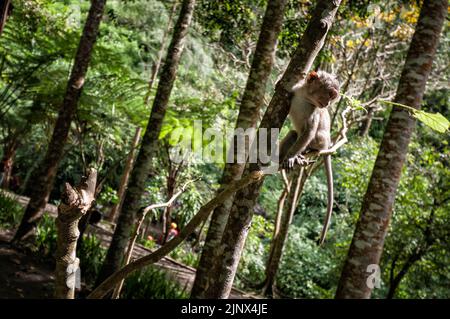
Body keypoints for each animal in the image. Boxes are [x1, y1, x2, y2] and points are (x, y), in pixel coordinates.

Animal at [280, 70, 340, 245]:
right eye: (330, 94)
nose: (327, 104)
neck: (306, 97)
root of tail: (328, 144)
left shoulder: (314, 111)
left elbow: (310, 132)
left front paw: (291, 158)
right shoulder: (295, 91)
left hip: (321, 141)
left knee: (310, 136)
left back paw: (300, 155)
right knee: (294, 134)